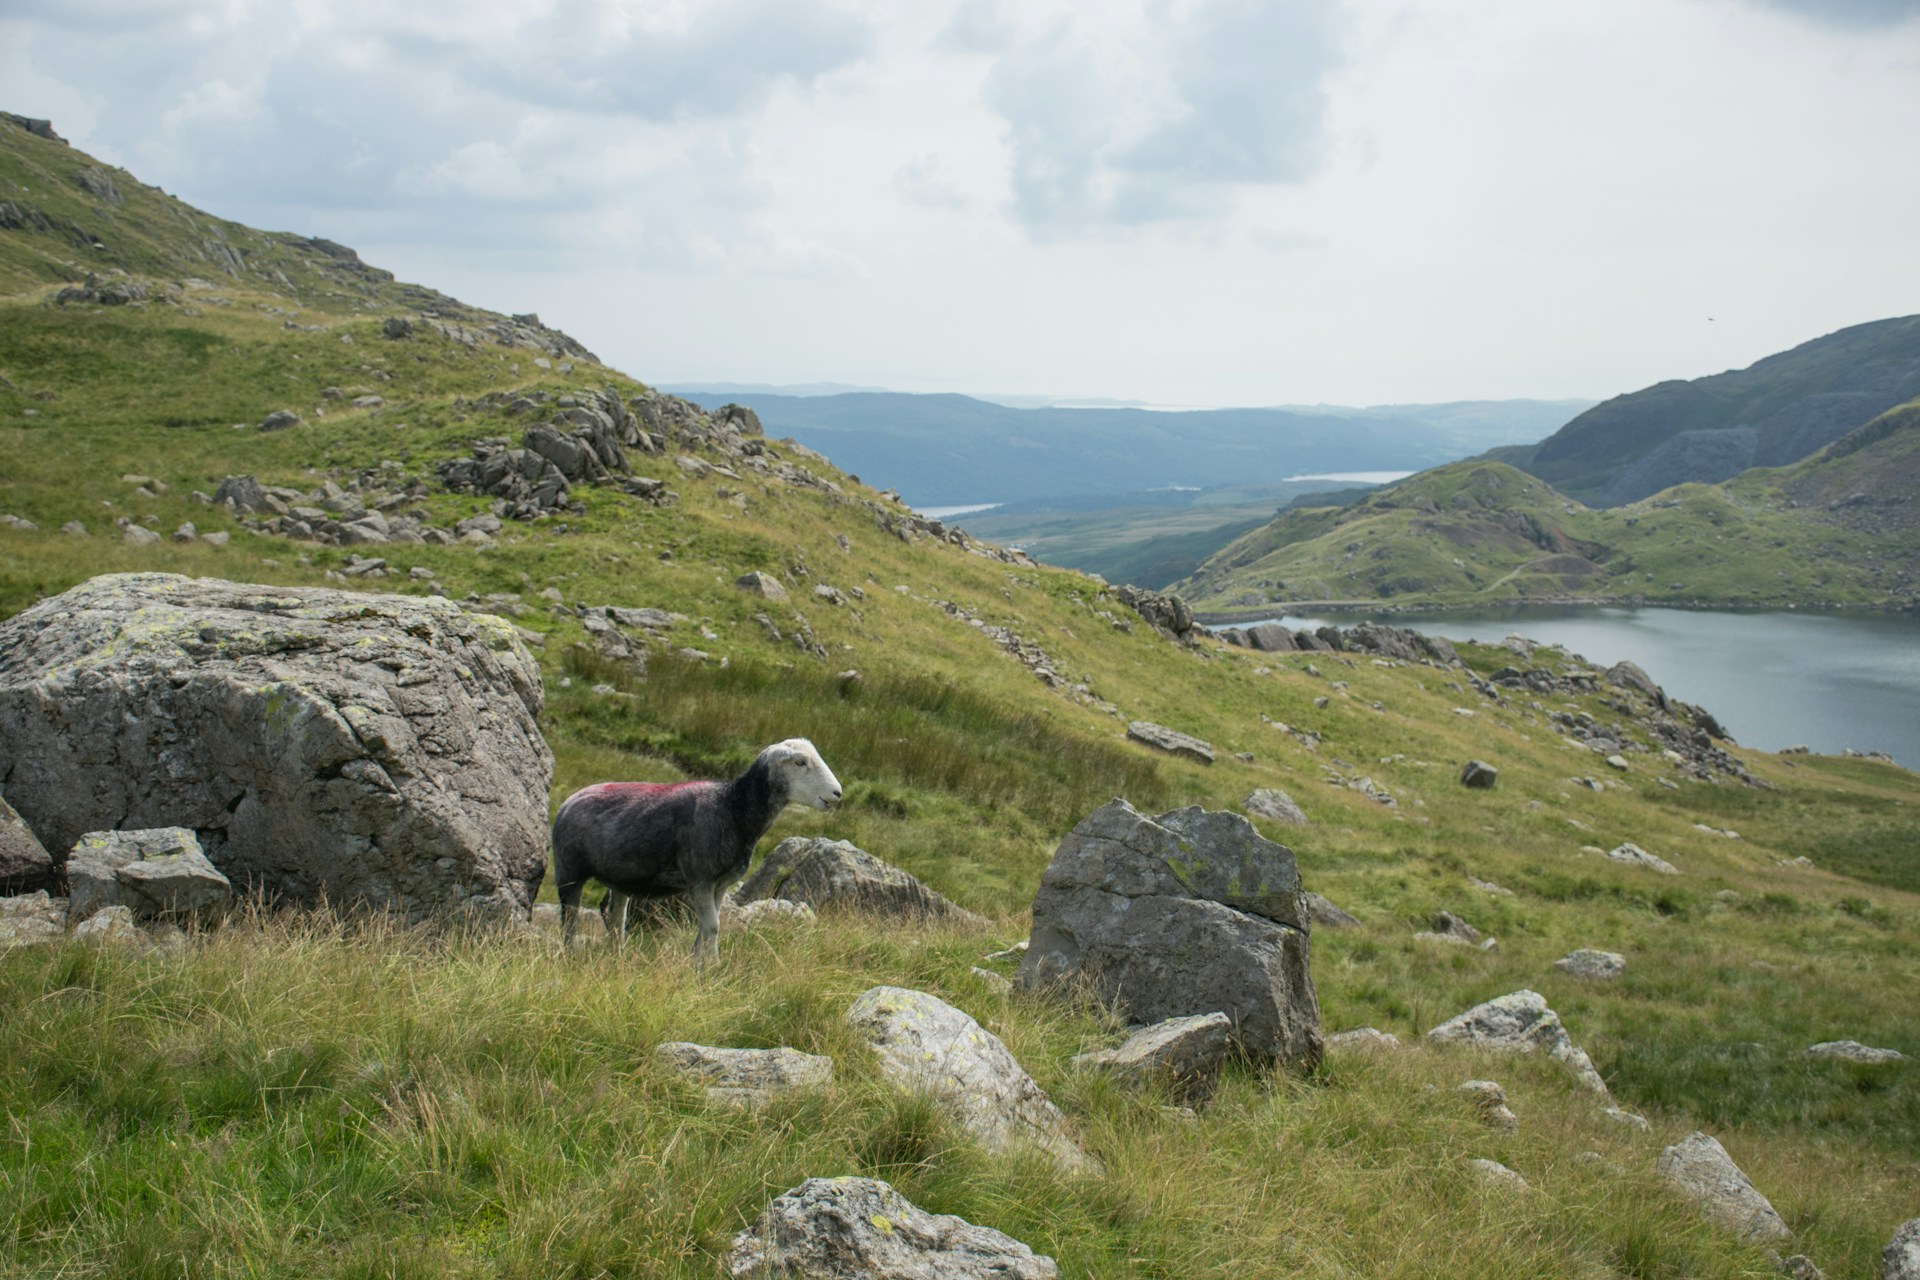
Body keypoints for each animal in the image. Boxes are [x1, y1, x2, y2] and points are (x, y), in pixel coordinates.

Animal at [549, 738, 842, 958]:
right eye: (799, 762)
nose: (838, 793)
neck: (734, 809)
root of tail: (568, 802)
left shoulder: (720, 884)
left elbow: (707, 926)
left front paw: (697, 964)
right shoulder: (699, 879)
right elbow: (712, 926)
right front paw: (711, 969)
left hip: (620, 877)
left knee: (615, 915)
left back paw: (618, 955)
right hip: (568, 872)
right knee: (569, 920)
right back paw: (569, 956)